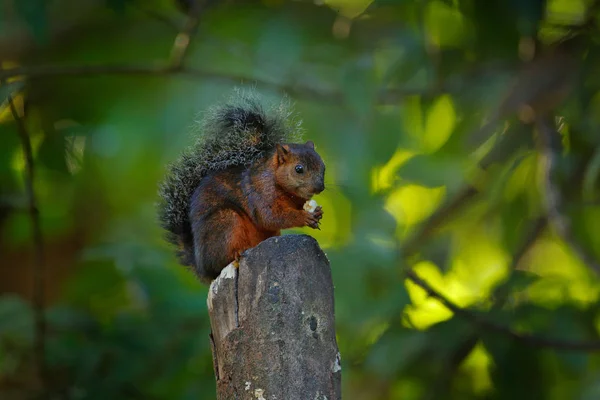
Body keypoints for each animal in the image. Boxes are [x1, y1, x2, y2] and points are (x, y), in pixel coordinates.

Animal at [155, 89, 324, 282]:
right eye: (299, 169)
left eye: (323, 165)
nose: (320, 187)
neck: (282, 187)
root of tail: (201, 267)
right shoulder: (260, 192)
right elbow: (271, 216)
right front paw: (304, 217)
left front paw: (317, 212)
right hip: (225, 222)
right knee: (221, 259)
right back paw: (236, 253)